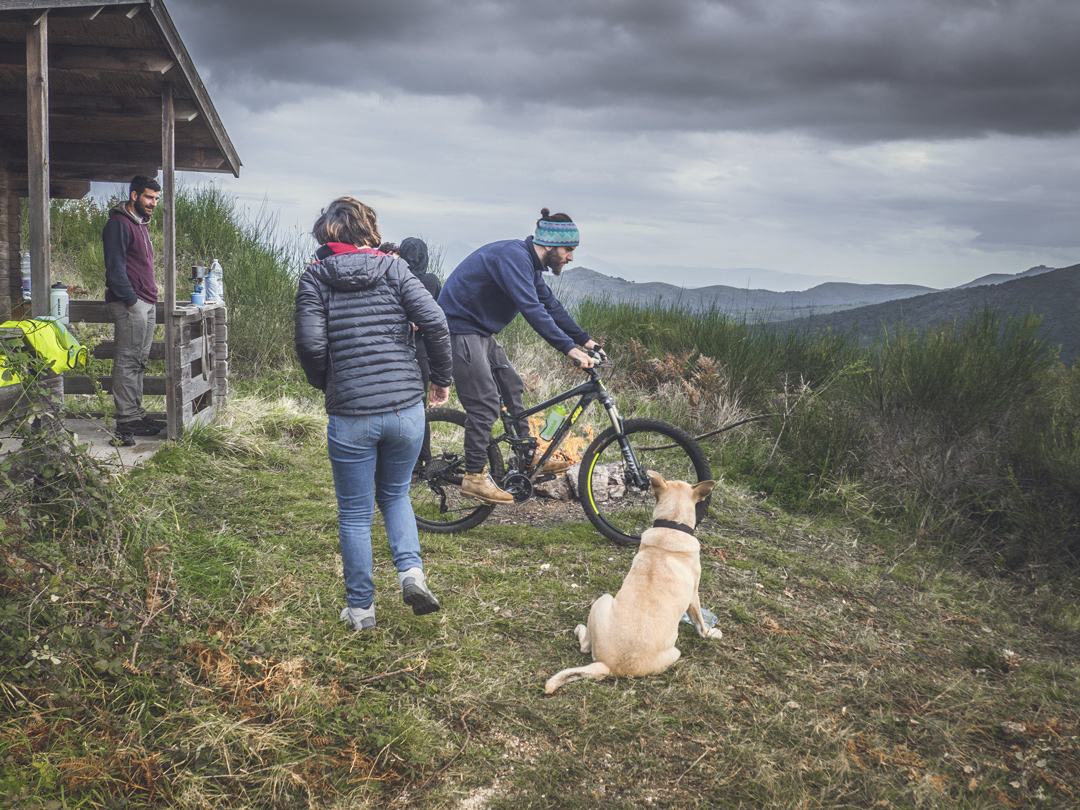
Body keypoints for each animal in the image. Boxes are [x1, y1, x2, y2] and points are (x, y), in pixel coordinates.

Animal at [544, 473, 721, 695]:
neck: (672, 525)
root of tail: (609, 666)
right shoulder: (694, 596)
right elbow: (700, 623)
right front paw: (710, 633)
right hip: (607, 601)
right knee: (585, 646)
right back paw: (579, 629)